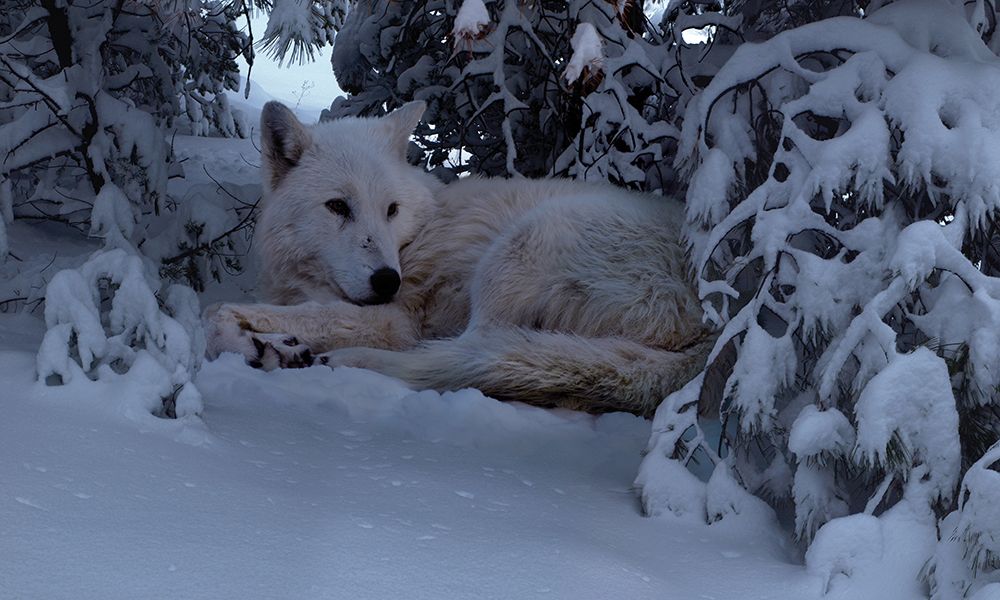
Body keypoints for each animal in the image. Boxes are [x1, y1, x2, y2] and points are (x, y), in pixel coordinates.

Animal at [204, 101, 715, 417]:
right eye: (337, 207)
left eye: (391, 209)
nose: (388, 280)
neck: (417, 235)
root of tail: (712, 325)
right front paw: (273, 346)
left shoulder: (395, 319)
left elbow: (217, 311)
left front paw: (255, 341)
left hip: (522, 245)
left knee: (473, 354)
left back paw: (345, 361)